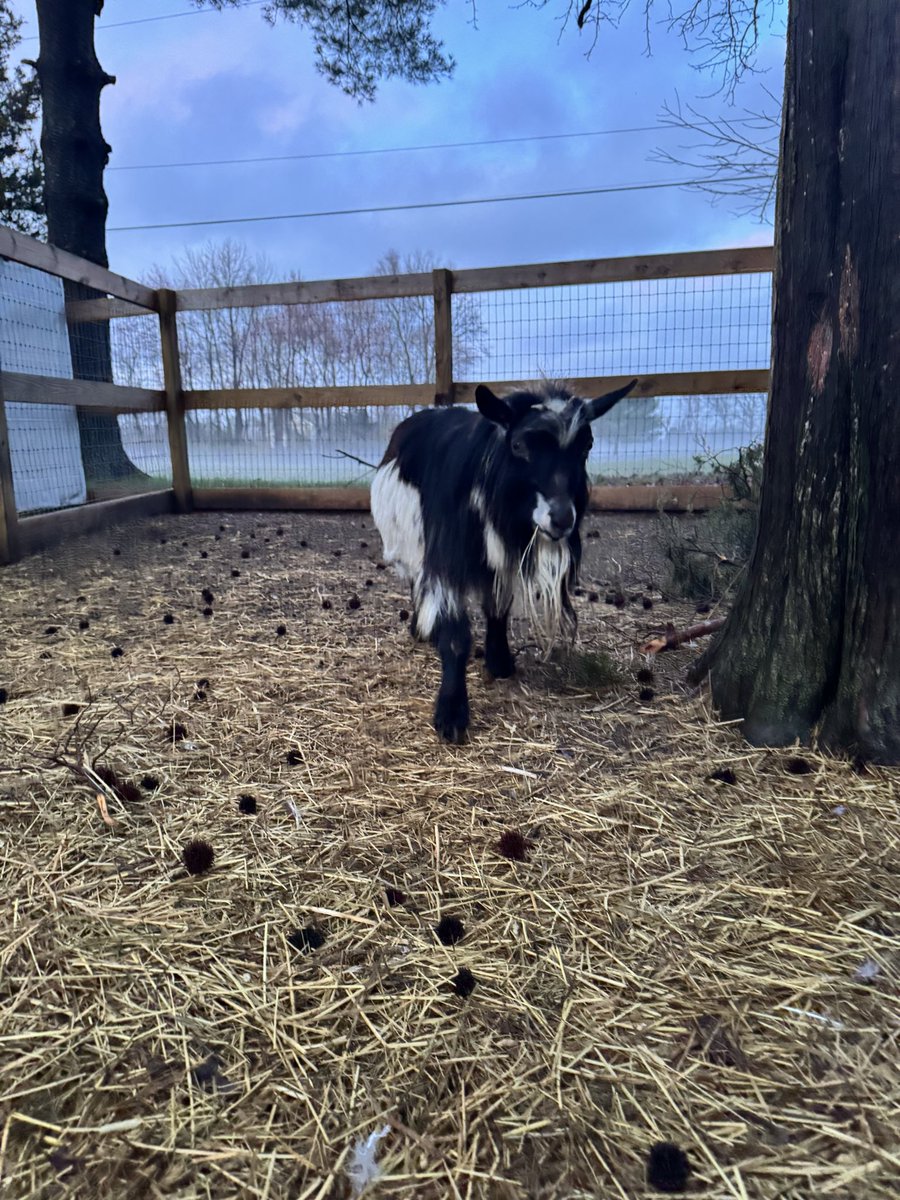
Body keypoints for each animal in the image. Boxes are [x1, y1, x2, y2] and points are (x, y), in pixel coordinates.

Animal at [371, 378, 638, 742]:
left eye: (587, 446)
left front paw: (500, 662)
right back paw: (422, 628)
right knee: (417, 582)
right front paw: (451, 713)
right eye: (519, 445)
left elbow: (498, 610)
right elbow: (456, 636)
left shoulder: (502, 561)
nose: (562, 519)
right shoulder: (446, 559)